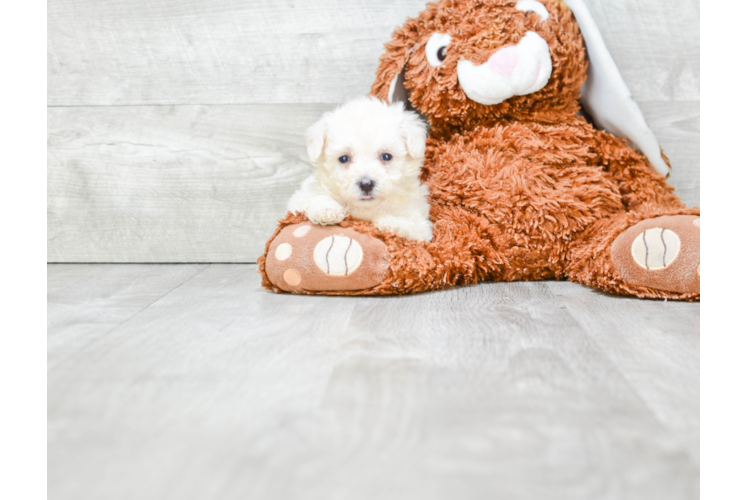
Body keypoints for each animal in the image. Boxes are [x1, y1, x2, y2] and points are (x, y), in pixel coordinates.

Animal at [290, 97, 436, 242]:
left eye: (386, 156)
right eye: (344, 158)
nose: (366, 184)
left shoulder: (422, 224)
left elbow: (412, 227)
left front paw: (390, 222)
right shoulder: (300, 198)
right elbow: (314, 197)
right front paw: (326, 209)